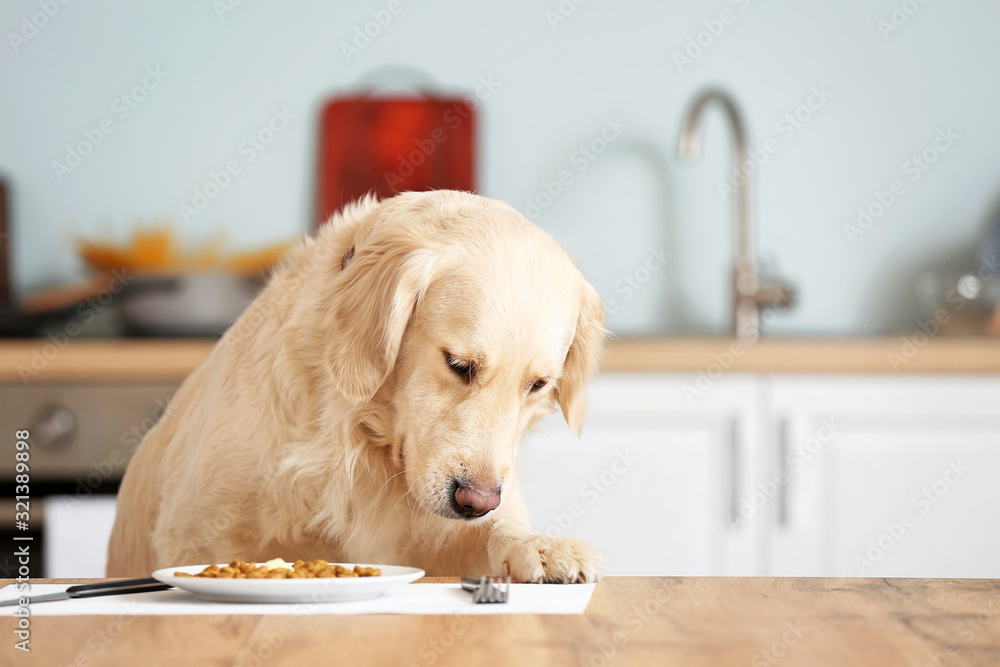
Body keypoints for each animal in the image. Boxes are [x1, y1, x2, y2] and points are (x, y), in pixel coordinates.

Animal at [110, 189, 608, 584]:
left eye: (538, 385)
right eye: (458, 365)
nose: (475, 502)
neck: (359, 434)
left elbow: (500, 527)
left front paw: (540, 546)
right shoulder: (194, 532)